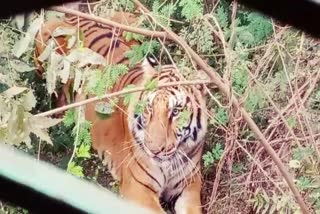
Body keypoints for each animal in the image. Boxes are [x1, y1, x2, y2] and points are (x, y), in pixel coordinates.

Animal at [33, 10, 209, 214]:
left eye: (176, 111)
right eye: (149, 107)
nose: (153, 150)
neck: (169, 164)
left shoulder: (190, 185)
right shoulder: (138, 188)